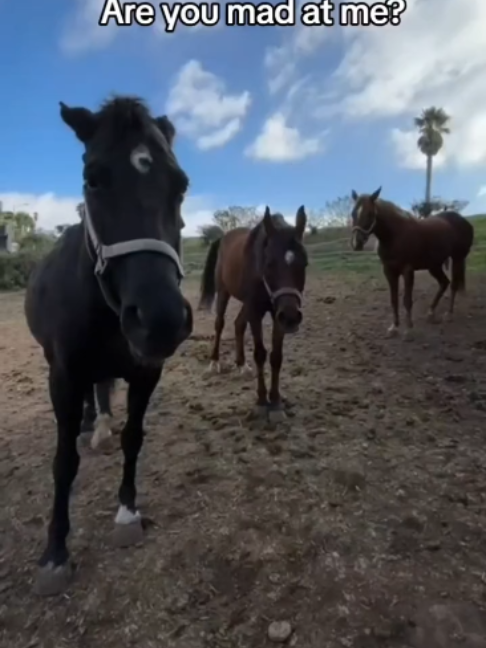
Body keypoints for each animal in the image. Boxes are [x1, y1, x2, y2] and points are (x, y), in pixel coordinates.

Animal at [24, 95, 193, 596]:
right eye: (93, 179)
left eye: (181, 185)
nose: (160, 320)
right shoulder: (62, 375)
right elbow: (64, 462)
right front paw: (55, 554)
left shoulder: (147, 372)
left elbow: (134, 439)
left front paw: (127, 514)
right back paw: (89, 426)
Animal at [198, 206, 307, 422]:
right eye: (269, 264)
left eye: (304, 263)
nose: (292, 318)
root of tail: (224, 237)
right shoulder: (257, 311)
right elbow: (260, 354)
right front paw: (261, 402)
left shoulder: (277, 313)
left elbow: (276, 356)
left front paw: (276, 403)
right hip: (224, 292)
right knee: (219, 324)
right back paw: (214, 362)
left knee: (238, 324)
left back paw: (242, 365)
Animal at [350, 187, 474, 338]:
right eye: (353, 213)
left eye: (370, 213)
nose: (356, 243)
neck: (395, 234)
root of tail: (463, 221)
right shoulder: (389, 271)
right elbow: (394, 300)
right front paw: (394, 327)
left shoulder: (407, 270)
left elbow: (407, 301)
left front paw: (409, 329)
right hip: (434, 265)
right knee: (444, 283)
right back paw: (431, 313)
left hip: (457, 258)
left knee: (453, 285)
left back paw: (449, 314)